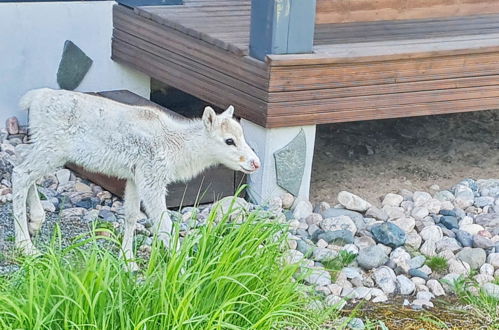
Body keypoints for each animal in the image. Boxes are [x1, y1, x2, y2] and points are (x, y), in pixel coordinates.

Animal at [12, 87, 262, 266]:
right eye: (229, 140)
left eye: (243, 134)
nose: (255, 163)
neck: (176, 151)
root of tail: (31, 100)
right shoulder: (152, 177)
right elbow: (163, 224)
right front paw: (181, 271)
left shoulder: (134, 176)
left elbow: (132, 215)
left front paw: (128, 260)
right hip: (53, 149)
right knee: (20, 174)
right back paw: (26, 246)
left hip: (42, 145)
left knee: (21, 159)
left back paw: (36, 221)